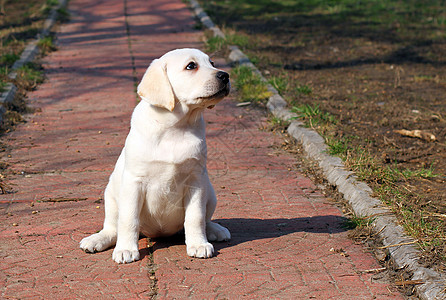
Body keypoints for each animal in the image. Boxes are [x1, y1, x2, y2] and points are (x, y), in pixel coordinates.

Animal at [80, 48, 232, 264]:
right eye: (191, 66)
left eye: (212, 63)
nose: (225, 75)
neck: (176, 126)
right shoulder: (134, 182)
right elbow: (129, 220)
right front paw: (126, 249)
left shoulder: (195, 181)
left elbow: (195, 217)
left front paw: (198, 244)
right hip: (111, 197)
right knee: (113, 227)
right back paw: (97, 240)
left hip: (210, 192)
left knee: (205, 219)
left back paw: (215, 230)